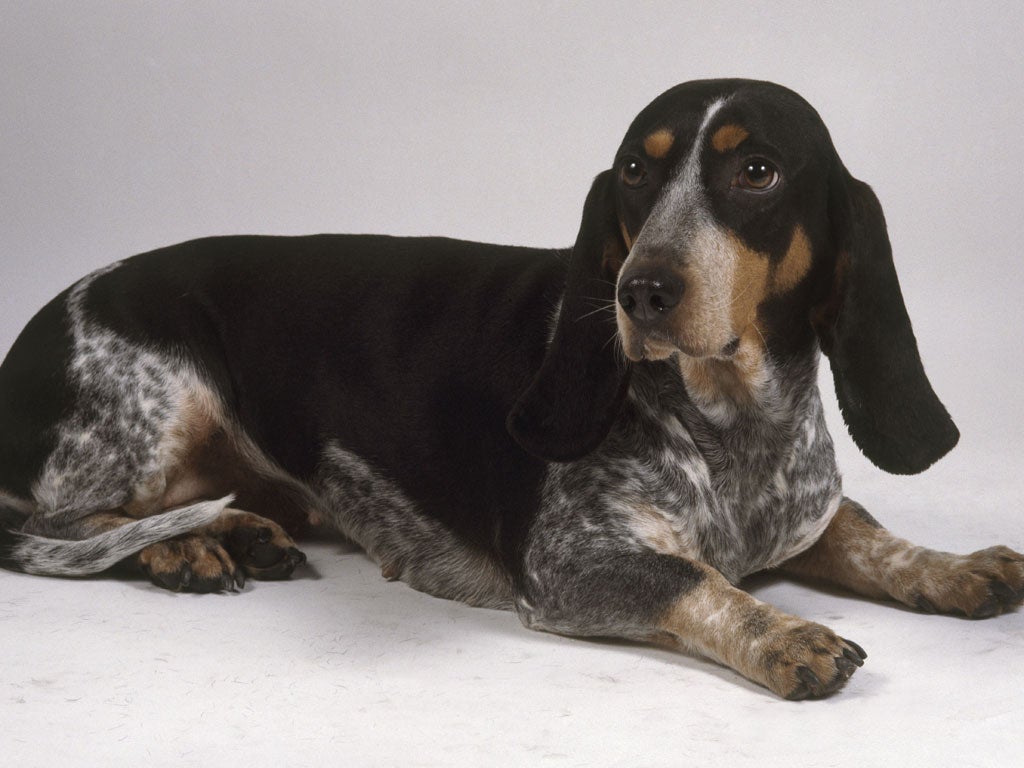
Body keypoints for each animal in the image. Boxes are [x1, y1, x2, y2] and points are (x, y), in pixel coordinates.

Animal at [2, 78, 1024, 696]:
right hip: (157, 403)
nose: (641, 290)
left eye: (757, 171)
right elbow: (694, 578)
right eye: (635, 170)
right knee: (58, 526)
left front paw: (958, 567)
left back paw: (240, 531)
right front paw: (783, 634)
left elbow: (872, 537)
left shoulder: (807, 515)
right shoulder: (571, 566)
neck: (732, 424)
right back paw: (184, 548)